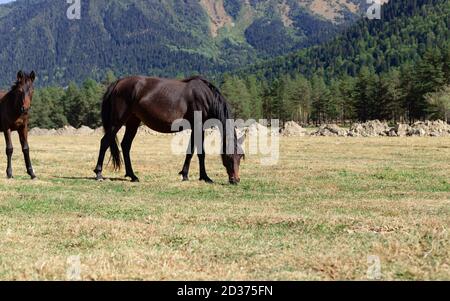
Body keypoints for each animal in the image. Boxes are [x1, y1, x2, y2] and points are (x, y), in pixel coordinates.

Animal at [92, 75, 244, 183]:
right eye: (229, 157)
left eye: (240, 157)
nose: (235, 180)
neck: (206, 96)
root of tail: (118, 83)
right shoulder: (198, 126)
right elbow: (199, 152)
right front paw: (204, 177)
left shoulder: (197, 128)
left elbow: (192, 151)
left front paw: (188, 174)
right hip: (117, 121)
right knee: (104, 142)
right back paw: (99, 174)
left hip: (133, 122)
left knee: (125, 145)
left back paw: (132, 176)